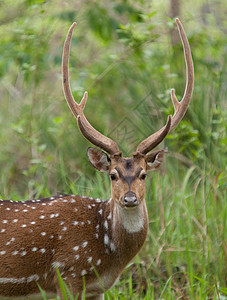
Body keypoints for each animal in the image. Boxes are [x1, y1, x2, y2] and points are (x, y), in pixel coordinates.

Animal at [0, 19, 193, 300]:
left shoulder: (97, 289)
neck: (108, 258)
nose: (130, 199)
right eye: (112, 175)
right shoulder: (67, 275)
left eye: (143, 174)